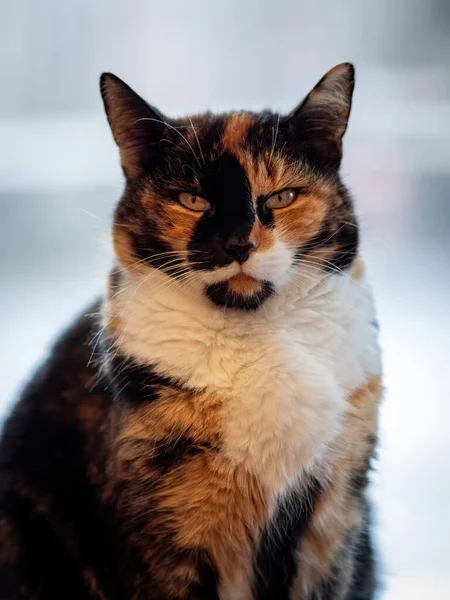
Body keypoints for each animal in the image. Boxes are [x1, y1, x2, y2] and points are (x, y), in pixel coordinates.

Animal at [0, 63, 384, 596]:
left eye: (283, 196)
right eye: (192, 199)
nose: (239, 243)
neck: (257, 338)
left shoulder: (333, 522)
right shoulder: (165, 529)